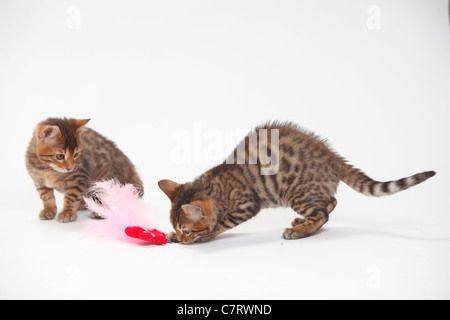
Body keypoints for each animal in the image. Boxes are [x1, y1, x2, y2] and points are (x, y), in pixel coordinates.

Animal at [159, 121, 436, 244]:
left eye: (187, 230)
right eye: (178, 228)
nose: (182, 237)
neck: (214, 185)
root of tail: (331, 155)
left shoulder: (246, 205)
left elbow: (220, 224)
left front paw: (202, 236)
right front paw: (171, 236)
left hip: (297, 192)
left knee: (323, 211)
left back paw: (301, 230)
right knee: (330, 202)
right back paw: (302, 222)